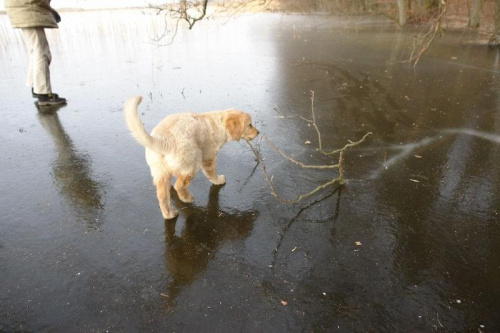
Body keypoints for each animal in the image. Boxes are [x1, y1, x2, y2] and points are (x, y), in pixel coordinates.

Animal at [124, 95, 260, 218]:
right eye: (249, 125)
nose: (258, 132)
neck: (218, 124)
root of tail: (163, 141)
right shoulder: (209, 156)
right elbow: (212, 172)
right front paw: (218, 180)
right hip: (193, 161)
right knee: (179, 185)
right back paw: (187, 198)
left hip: (160, 173)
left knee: (162, 196)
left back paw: (170, 214)